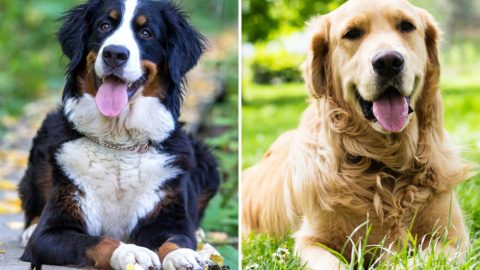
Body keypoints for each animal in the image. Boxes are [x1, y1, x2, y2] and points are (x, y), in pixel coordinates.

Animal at [17, 0, 220, 270]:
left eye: (146, 33)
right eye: (104, 26)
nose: (114, 54)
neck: (119, 143)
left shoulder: (167, 217)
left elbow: (175, 240)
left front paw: (183, 256)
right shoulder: (50, 232)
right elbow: (98, 241)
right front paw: (130, 252)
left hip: (205, 159)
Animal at [244, 0, 472, 268]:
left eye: (406, 26)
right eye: (352, 33)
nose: (388, 61)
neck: (385, 162)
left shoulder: (453, 238)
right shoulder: (311, 241)